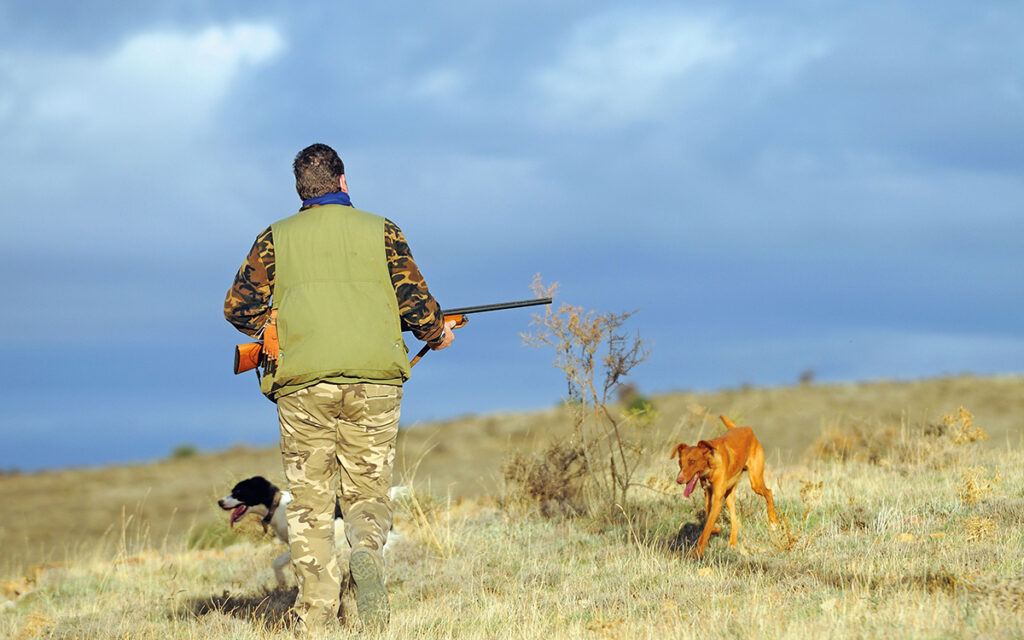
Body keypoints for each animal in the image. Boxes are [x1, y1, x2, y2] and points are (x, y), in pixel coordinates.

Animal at [220, 475, 403, 585]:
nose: (219, 502)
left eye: (238, 492)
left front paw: (282, 581)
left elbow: (278, 562)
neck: (276, 506)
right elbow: (279, 562)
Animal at [667, 417, 778, 557]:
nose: (679, 480)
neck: (710, 467)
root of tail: (745, 428)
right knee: (735, 520)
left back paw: (773, 522)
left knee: (769, 492)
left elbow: (706, 529)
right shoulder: (708, 494)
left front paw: (697, 553)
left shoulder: (717, 500)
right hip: (729, 495)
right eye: (680, 463)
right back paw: (733, 543)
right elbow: (708, 519)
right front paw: (716, 529)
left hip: (755, 482)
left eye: (692, 461)